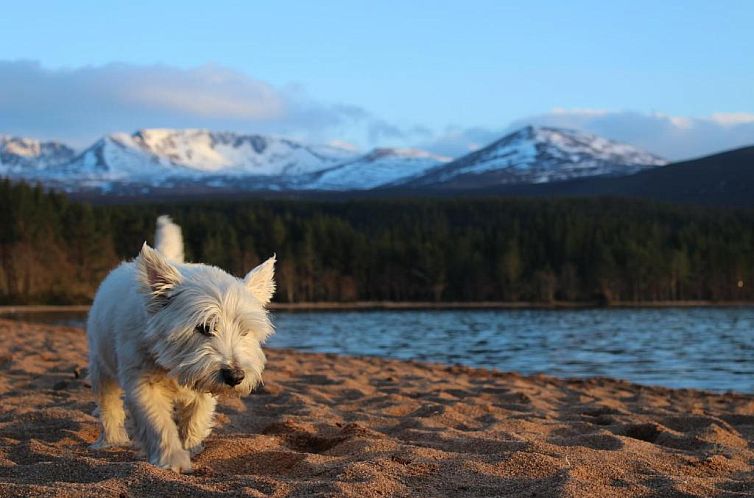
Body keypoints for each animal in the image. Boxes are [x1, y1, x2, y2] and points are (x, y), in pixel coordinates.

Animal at [86, 214, 274, 470]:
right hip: (100, 363)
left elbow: (197, 417)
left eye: (245, 331)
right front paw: (174, 459)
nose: (235, 377)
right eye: (204, 327)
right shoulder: (142, 380)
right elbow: (157, 422)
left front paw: (191, 446)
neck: (173, 363)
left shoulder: (202, 383)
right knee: (108, 403)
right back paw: (111, 440)